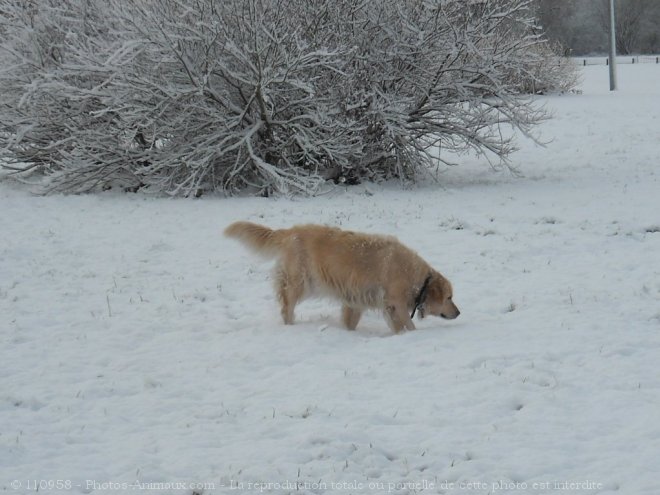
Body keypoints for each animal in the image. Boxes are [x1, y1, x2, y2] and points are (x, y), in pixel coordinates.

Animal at [223, 224, 458, 334]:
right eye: (449, 297)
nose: (458, 312)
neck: (416, 277)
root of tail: (290, 232)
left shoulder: (357, 299)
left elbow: (350, 320)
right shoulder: (395, 302)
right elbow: (408, 325)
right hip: (301, 282)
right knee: (286, 306)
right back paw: (291, 326)